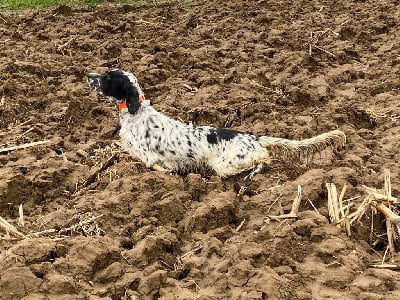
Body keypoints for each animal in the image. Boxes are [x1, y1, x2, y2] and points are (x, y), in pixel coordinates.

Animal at [87, 69, 346, 180]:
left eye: (108, 77)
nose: (88, 75)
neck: (135, 113)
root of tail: (252, 136)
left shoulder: (148, 158)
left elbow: (155, 166)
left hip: (224, 164)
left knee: (265, 159)